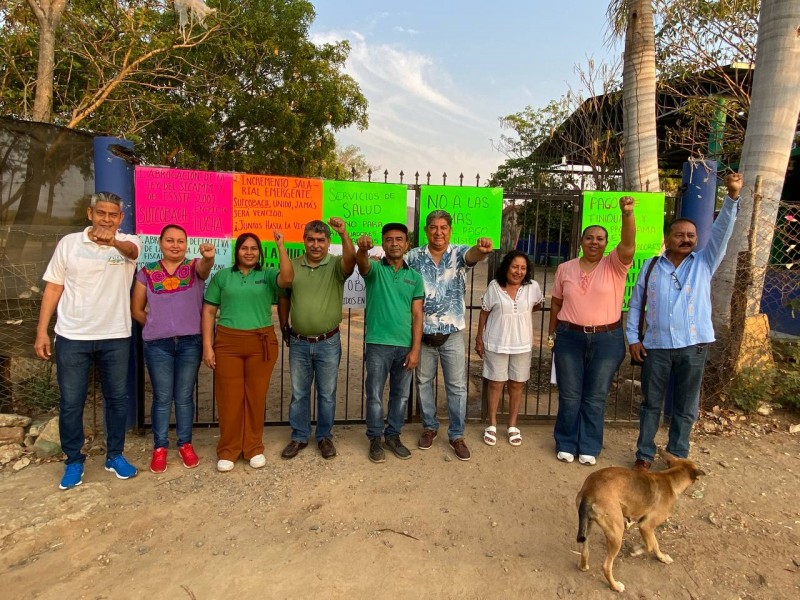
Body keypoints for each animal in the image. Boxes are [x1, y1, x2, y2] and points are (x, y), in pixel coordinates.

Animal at [576, 448, 708, 592]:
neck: (670, 479)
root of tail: (590, 491)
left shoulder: (647, 527)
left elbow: (655, 544)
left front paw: (662, 558)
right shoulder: (646, 526)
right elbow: (651, 545)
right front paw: (637, 550)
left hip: (588, 527)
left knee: (585, 551)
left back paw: (584, 566)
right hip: (616, 533)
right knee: (606, 566)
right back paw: (615, 586)